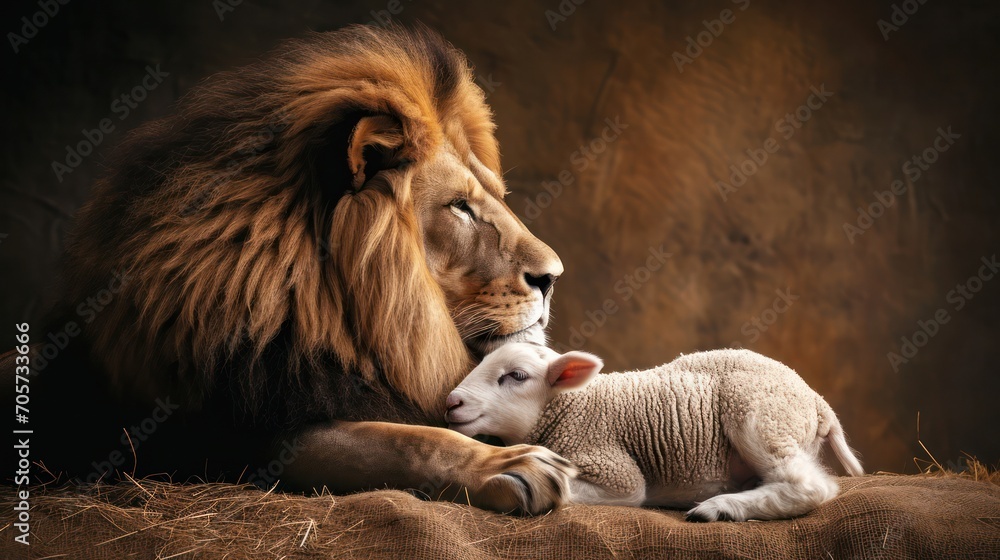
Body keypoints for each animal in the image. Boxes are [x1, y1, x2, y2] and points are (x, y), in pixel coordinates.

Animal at [445, 343, 864, 521]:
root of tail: (816, 399)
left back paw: (719, 508)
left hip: (760, 415)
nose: (451, 402)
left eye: (516, 376)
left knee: (809, 487)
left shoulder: (615, 472)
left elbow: (572, 490)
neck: (574, 405)